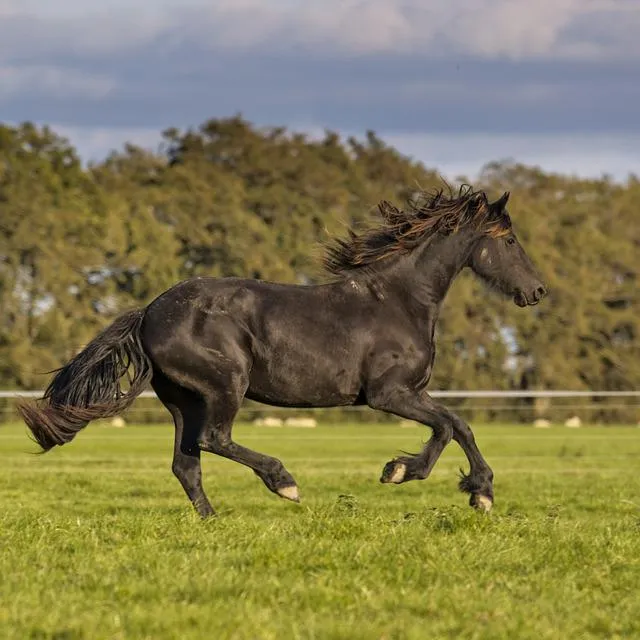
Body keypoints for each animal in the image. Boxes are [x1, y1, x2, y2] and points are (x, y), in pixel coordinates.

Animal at [18, 185, 547, 517]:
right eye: (510, 241)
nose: (537, 290)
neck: (399, 301)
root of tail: (149, 311)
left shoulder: (409, 393)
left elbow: (458, 425)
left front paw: (477, 492)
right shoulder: (389, 394)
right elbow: (448, 426)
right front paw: (405, 473)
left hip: (183, 399)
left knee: (187, 462)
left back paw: (214, 521)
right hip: (225, 387)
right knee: (213, 440)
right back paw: (285, 483)